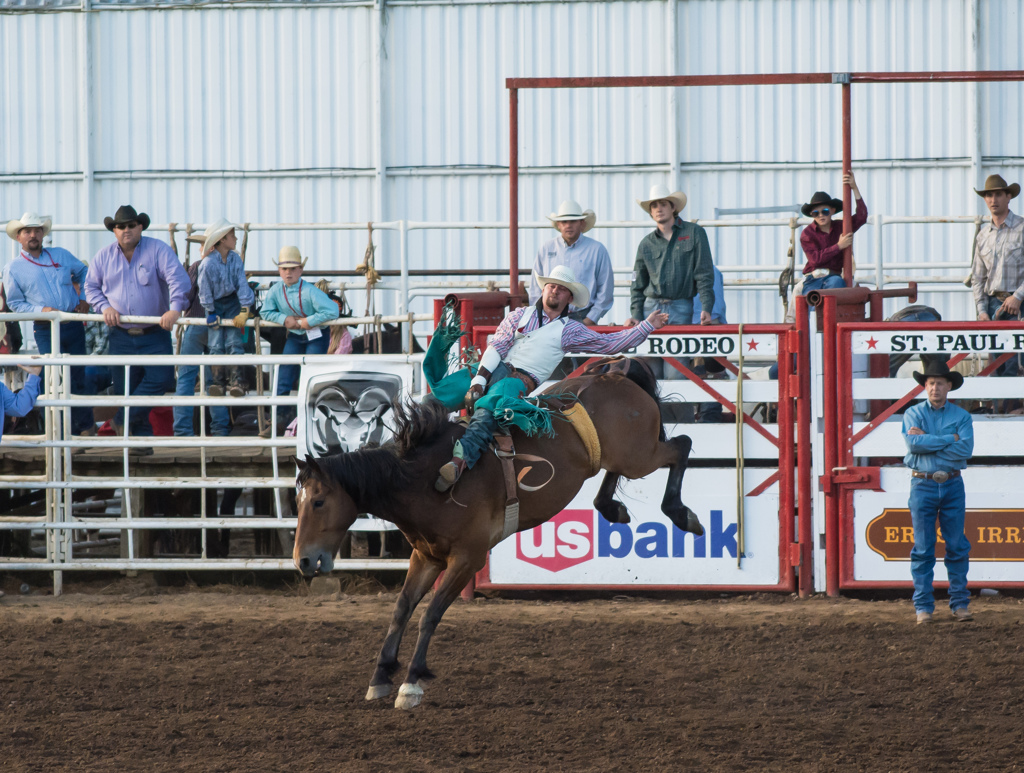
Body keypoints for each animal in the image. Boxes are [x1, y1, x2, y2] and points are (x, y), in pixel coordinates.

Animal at [292, 356, 700, 708]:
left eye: (318, 502)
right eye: (297, 501)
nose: (303, 561)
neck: (422, 478)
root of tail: (617, 372)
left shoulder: (466, 560)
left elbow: (430, 614)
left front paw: (411, 683)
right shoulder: (426, 556)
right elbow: (402, 609)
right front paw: (381, 676)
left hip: (640, 455)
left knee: (681, 447)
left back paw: (682, 515)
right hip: (623, 456)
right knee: (618, 471)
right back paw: (613, 508)